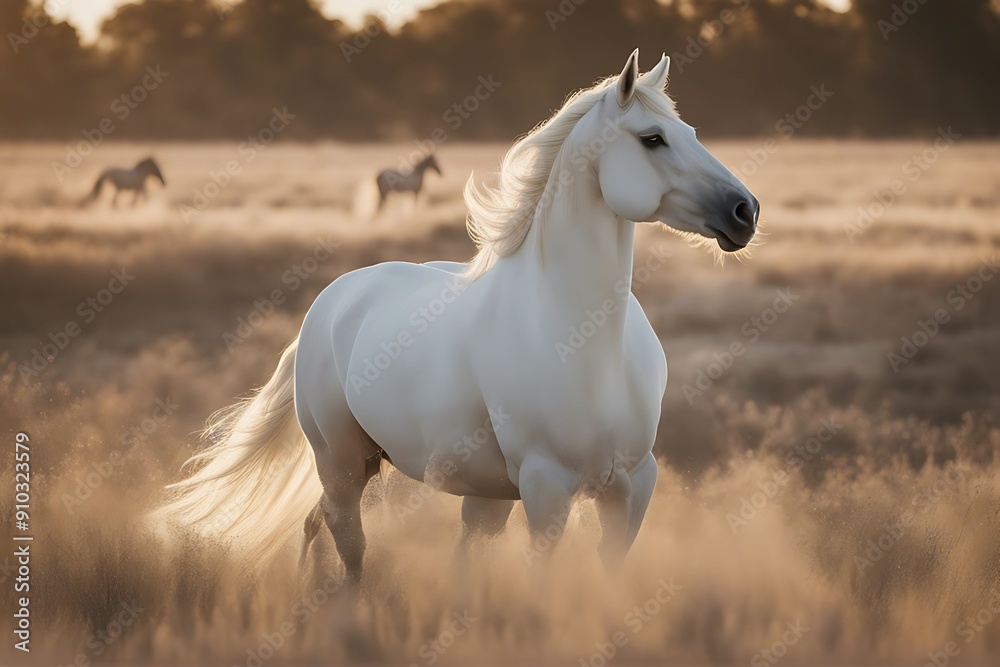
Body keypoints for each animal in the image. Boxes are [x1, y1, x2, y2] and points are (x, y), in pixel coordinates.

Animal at [155, 50, 759, 582]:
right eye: (652, 138)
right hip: (342, 462)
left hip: (468, 492)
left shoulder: (631, 486)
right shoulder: (547, 487)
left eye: (693, 134)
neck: (582, 340)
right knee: (347, 541)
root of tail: (332, 302)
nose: (745, 211)